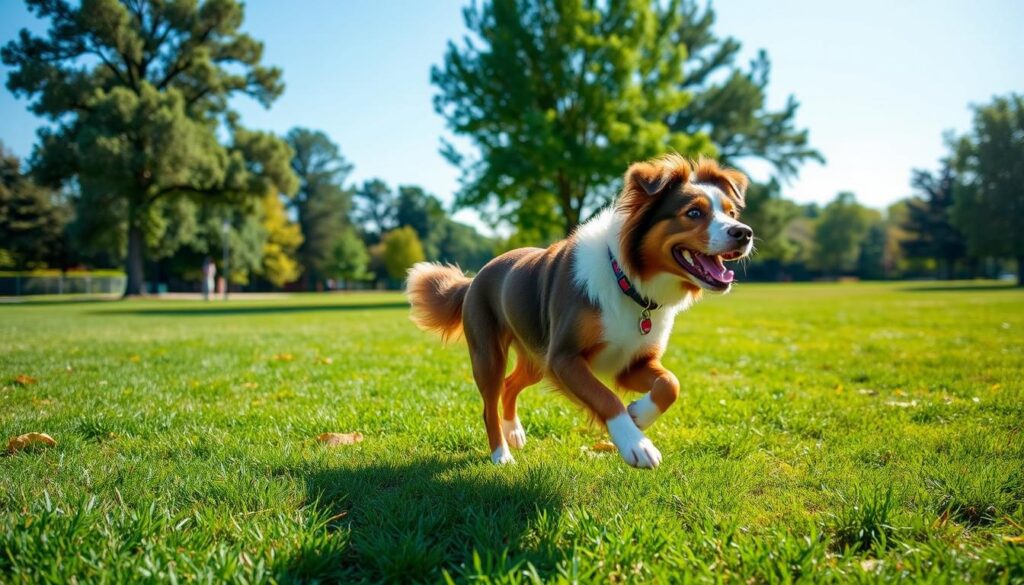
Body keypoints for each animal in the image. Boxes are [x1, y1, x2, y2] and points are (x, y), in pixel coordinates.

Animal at [405, 155, 753, 467]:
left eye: (731, 212)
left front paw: (639, 414)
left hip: (536, 358)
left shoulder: (632, 362)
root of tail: (474, 278)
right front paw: (636, 444)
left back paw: (514, 431)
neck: (628, 282)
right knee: (489, 403)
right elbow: (606, 397)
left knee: (510, 385)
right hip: (489, 354)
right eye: (693, 212)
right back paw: (501, 454)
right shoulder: (564, 357)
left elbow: (671, 384)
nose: (744, 232)